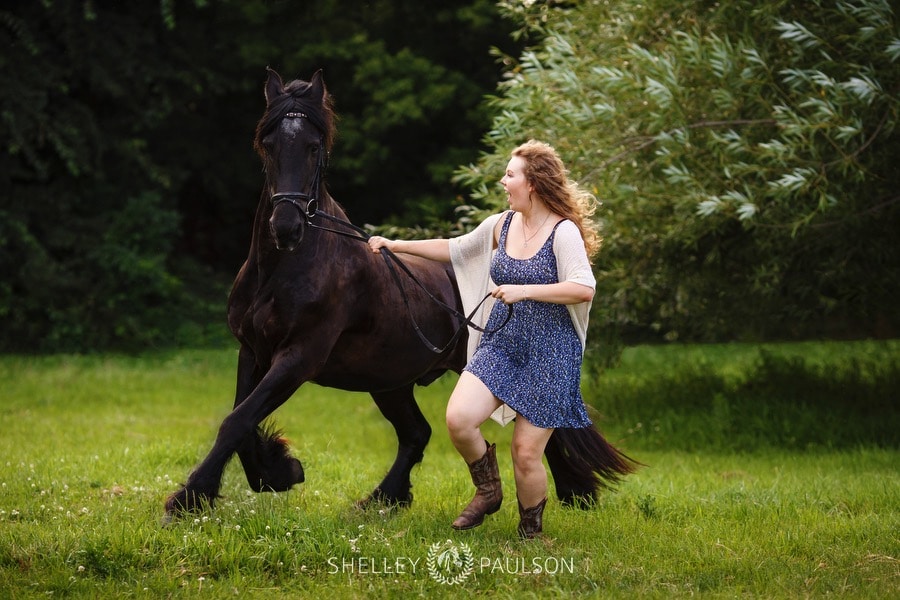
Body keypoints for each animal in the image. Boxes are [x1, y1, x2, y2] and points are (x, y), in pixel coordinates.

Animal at [165, 71, 636, 520]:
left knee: (539, 428)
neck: (283, 270)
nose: (286, 227)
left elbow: (239, 419)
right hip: (389, 379)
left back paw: (574, 492)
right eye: (268, 144)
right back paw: (384, 498)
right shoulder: (253, 351)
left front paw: (189, 498)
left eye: (314, 147)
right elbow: (240, 422)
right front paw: (275, 473)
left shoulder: (298, 357)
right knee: (417, 433)